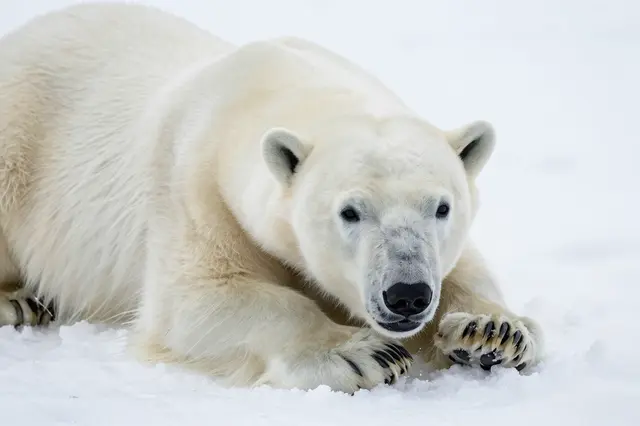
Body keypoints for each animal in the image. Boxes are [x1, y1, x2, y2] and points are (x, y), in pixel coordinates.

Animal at [0, 3, 544, 392]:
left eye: (442, 207)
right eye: (350, 212)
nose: (407, 293)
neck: (258, 89)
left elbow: (467, 270)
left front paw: (492, 332)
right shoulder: (195, 188)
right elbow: (195, 302)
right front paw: (365, 353)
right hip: (18, 139)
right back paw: (19, 301)